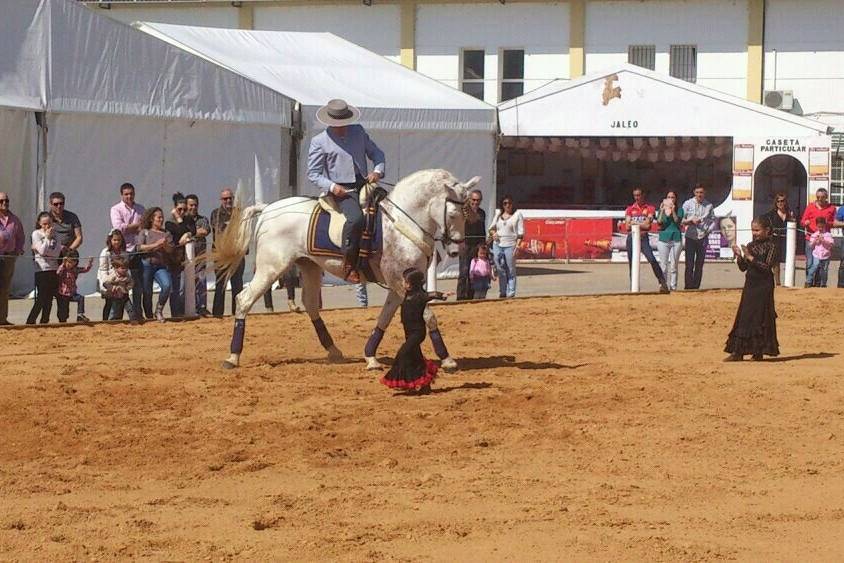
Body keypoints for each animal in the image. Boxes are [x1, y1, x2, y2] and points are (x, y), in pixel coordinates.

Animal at [213, 167, 482, 370]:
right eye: (454, 212)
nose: (457, 251)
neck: (402, 222)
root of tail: (268, 208)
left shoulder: (400, 286)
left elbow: (385, 317)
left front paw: (370, 356)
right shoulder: (400, 282)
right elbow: (428, 316)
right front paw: (447, 359)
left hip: (309, 267)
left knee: (311, 304)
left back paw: (334, 351)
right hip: (271, 268)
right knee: (244, 299)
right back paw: (232, 357)